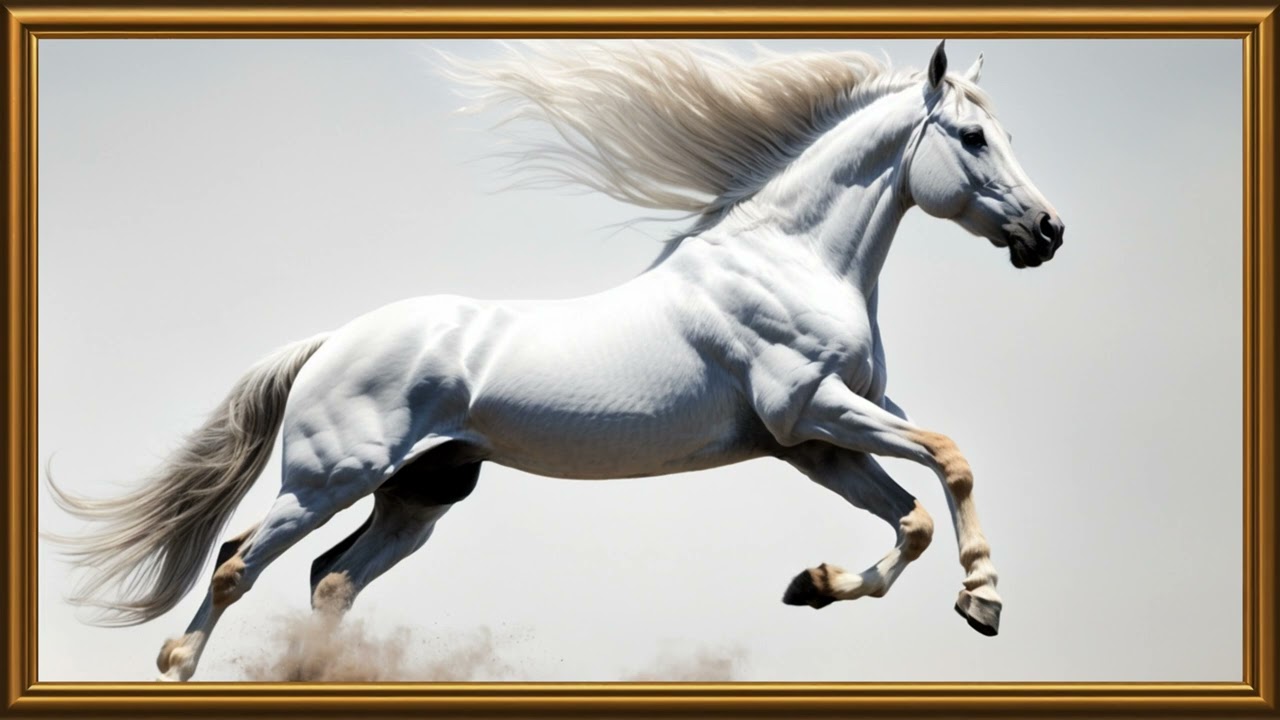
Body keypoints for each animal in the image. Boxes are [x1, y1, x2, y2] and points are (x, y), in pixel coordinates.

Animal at [49, 40, 1064, 682]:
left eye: (1007, 135)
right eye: (974, 138)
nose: (1048, 232)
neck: (789, 260)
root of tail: (332, 341)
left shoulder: (812, 444)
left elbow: (912, 520)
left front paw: (813, 588)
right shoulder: (815, 412)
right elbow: (951, 460)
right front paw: (983, 599)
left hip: (422, 494)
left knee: (331, 579)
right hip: (328, 478)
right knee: (236, 563)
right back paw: (177, 664)